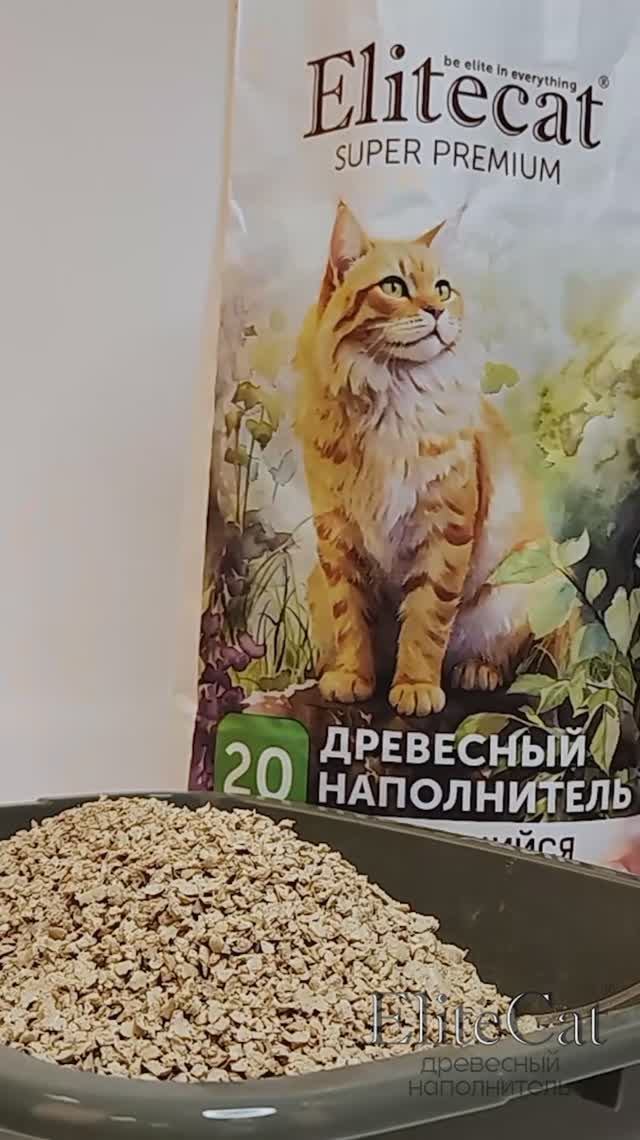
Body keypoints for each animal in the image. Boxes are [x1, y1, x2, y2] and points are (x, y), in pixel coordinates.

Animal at [294, 201, 546, 717]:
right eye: (394, 286)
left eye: (443, 288)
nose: (436, 309)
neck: (391, 394)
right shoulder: (337, 537)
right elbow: (351, 618)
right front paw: (354, 677)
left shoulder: (445, 531)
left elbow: (427, 620)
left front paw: (415, 684)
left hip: (514, 590)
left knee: (493, 651)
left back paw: (475, 670)